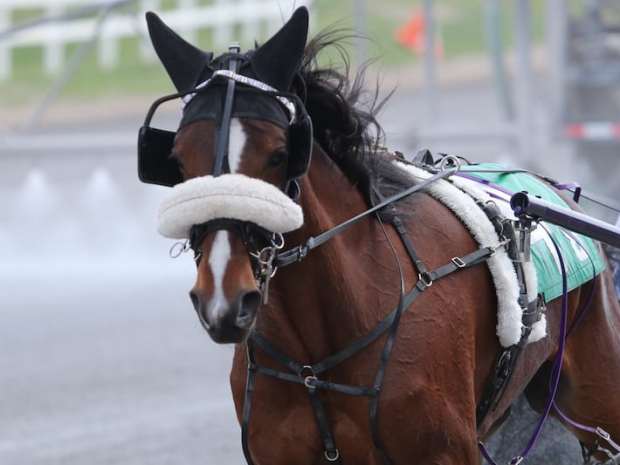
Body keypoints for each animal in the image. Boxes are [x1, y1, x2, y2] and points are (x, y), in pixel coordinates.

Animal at [140, 7, 620, 464]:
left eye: (278, 155)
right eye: (178, 160)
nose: (224, 299)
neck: (317, 354)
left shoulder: (442, 451)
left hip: (597, 393)